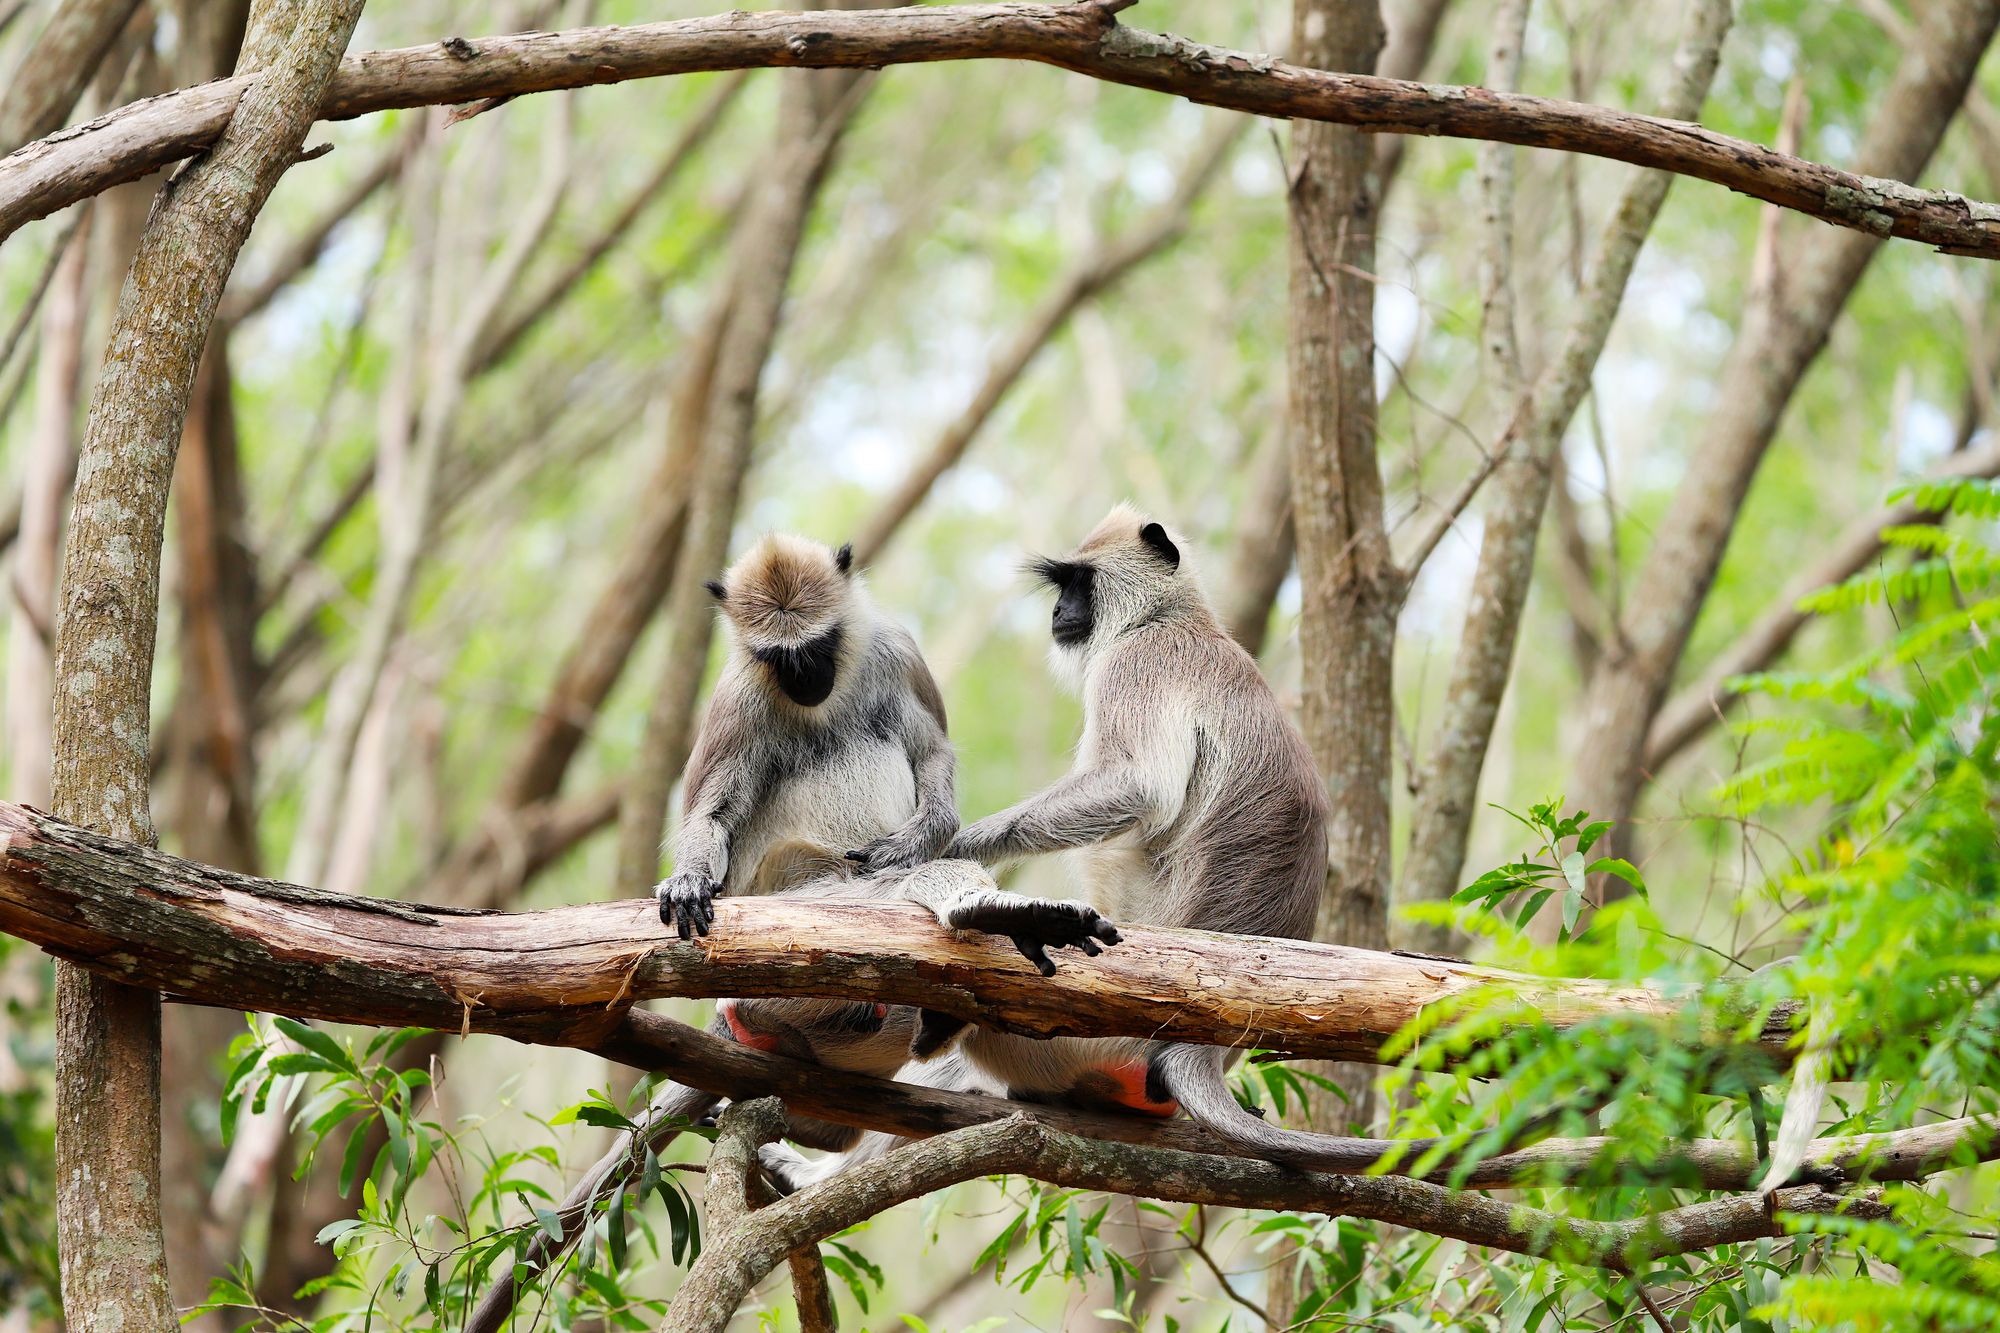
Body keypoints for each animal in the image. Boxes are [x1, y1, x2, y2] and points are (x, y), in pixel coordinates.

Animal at [760, 506, 1390, 1191]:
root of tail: (1201, 1052)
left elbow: (1136, 784)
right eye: (1061, 585)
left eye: (1079, 582)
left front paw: (939, 846)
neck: (1170, 617)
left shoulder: (1140, 662)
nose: (1060, 611)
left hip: (1081, 1041)